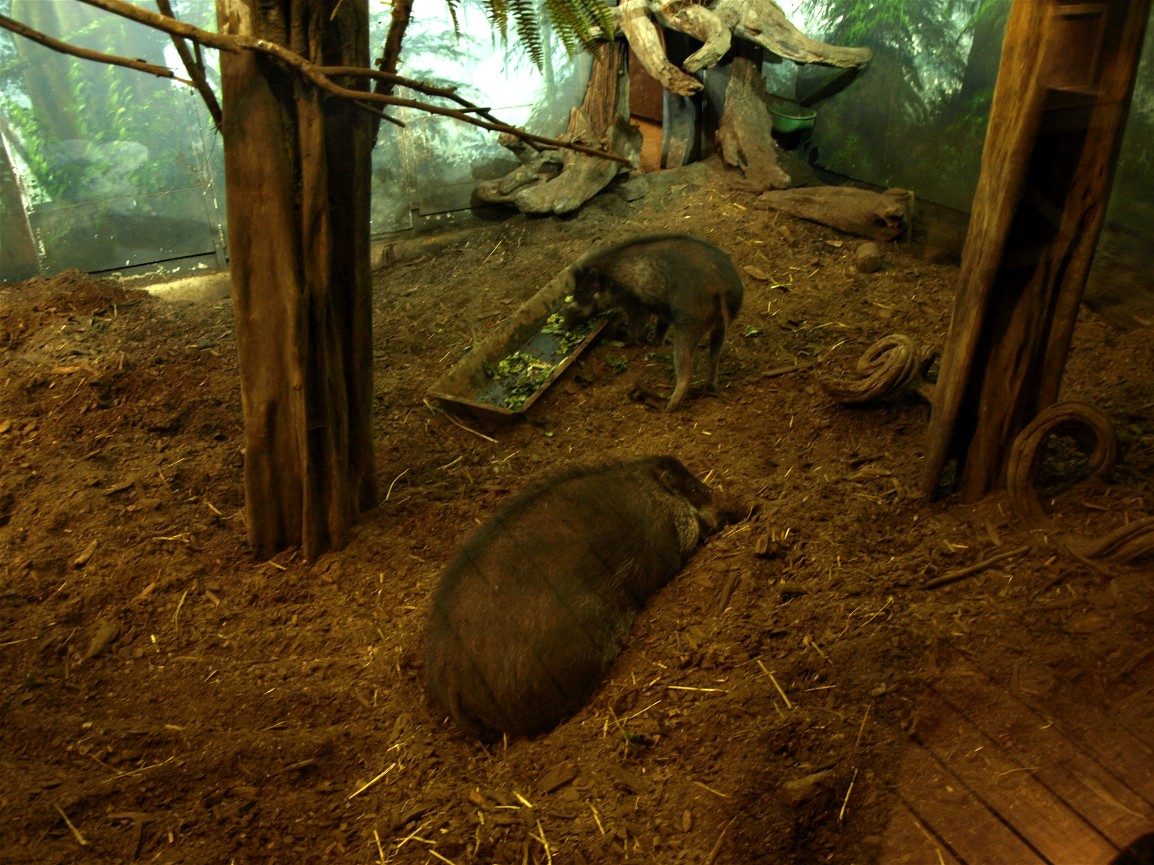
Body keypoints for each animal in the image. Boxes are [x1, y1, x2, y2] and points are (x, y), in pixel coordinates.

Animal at [562, 234, 744, 411]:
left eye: (582, 291)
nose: (564, 323)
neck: (611, 279)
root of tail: (720, 286)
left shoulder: (633, 302)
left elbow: (636, 327)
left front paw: (624, 345)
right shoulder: (662, 310)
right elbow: (660, 328)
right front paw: (655, 344)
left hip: (689, 324)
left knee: (686, 372)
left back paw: (667, 408)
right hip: (722, 324)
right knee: (714, 358)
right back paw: (709, 390)